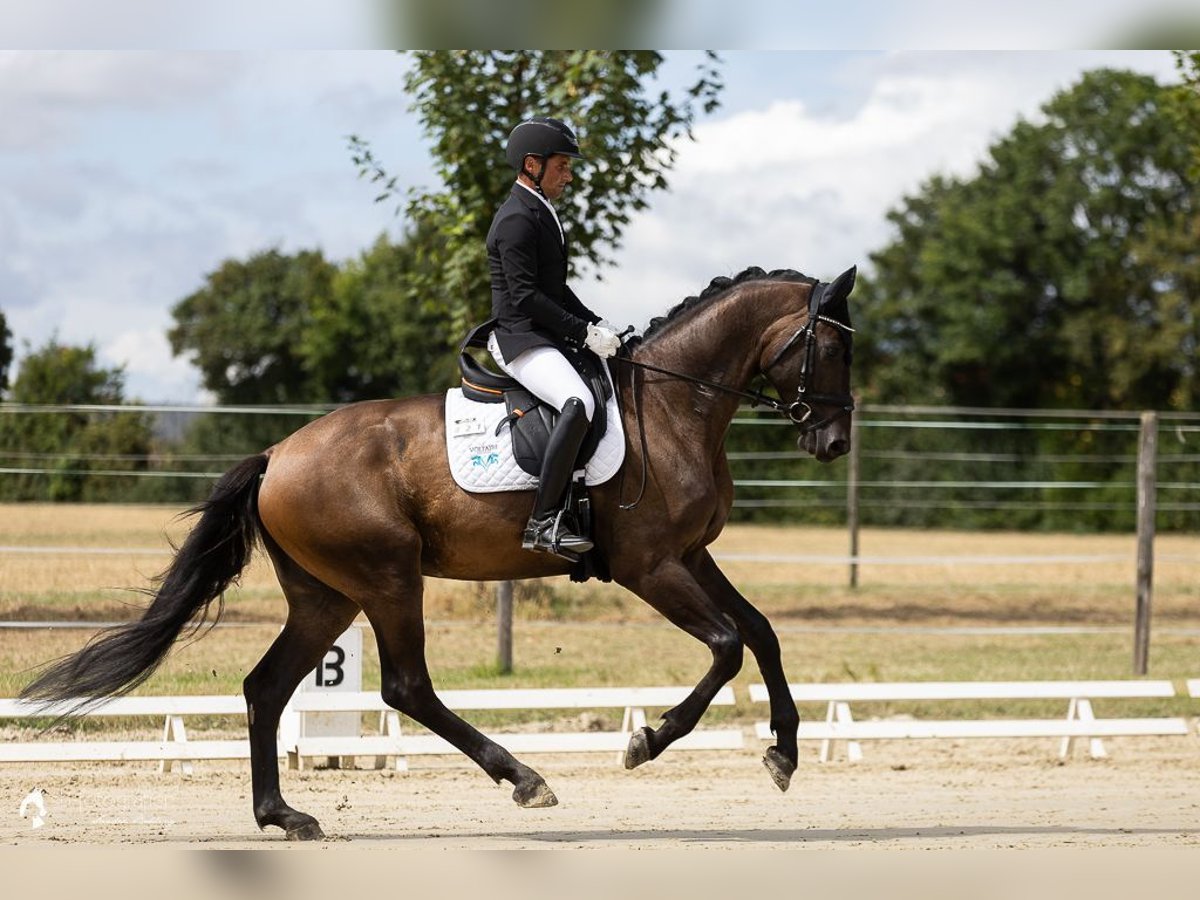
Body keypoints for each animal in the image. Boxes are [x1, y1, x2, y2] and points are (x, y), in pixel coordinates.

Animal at [23, 264, 859, 844]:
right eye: (827, 348)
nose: (834, 443)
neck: (674, 405)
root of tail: (276, 454)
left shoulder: (693, 555)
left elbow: (762, 634)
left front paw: (784, 753)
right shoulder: (650, 566)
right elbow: (724, 647)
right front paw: (646, 740)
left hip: (328, 596)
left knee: (267, 687)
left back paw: (285, 816)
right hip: (387, 578)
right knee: (405, 687)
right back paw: (523, 778)